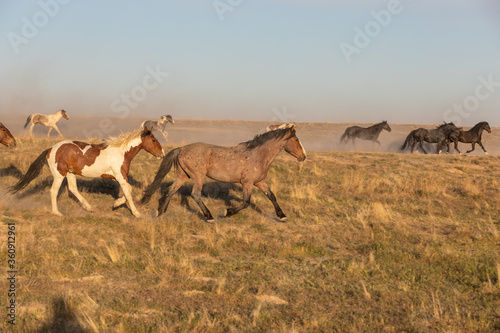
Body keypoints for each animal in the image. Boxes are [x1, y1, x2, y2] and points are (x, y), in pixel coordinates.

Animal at [9, 126, 164, 215]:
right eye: (153, 140)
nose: (162, 154)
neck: (121, 152)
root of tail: (50, 149)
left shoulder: (119, 177)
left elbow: (129, 190)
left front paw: (115, 204)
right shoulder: (120, 176)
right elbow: (128, 192)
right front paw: (136, 213)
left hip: (70, 173)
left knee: (73, 189)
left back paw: (89, 207)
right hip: (59, 174)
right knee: (54, 191)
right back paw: (57, 212)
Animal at [139, 123, 306, 222]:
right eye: (296, 140)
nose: (303, 156)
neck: (257, 155)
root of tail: (182, 149)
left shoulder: (260, 182)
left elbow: (272, 196)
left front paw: (282, 216)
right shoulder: (247, 183)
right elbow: (246, 202)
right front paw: (226, 212)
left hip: (183, 175)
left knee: (171, 191)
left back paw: (160, 212)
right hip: (198, 176)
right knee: (195, 194)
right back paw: (209, 217)